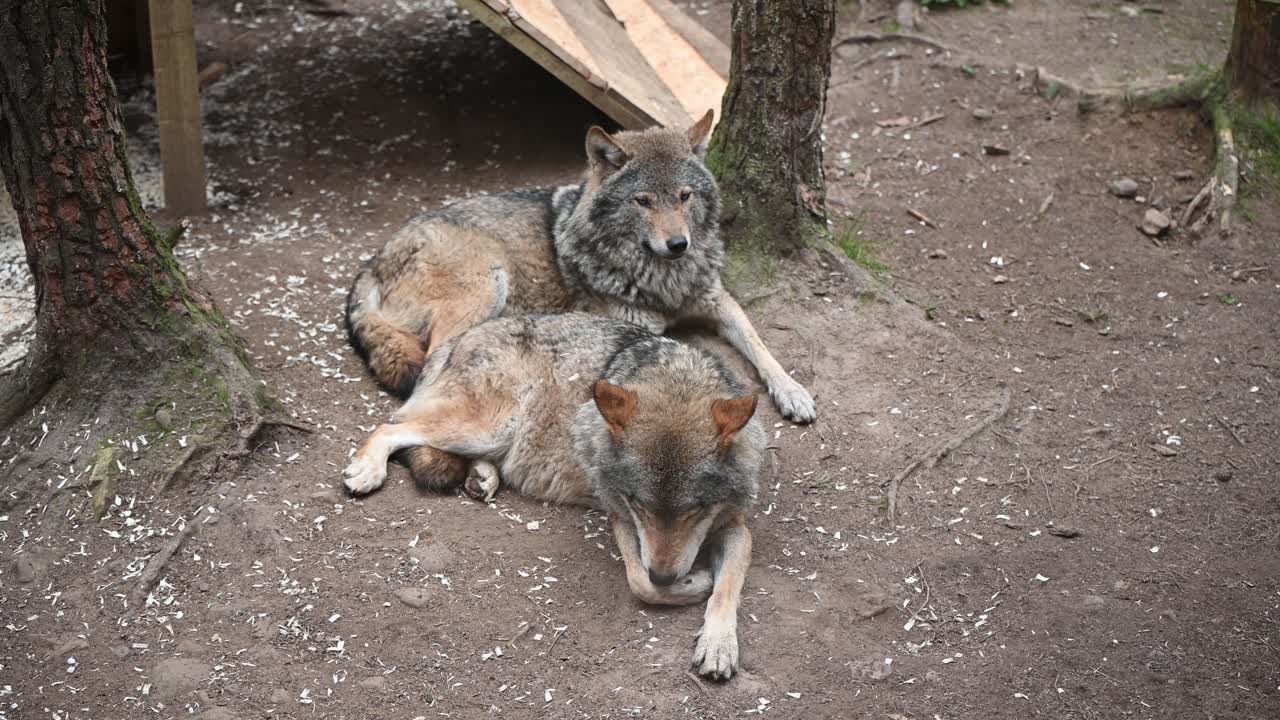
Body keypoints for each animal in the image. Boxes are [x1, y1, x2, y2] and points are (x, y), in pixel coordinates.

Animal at [341, 313, 767, 679]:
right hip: (489, 425)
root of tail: (465, 335)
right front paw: (695, 583)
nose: (666, 574)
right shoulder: (618, 516)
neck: (677, 382)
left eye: (695, 510)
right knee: (390, 426)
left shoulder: (735, 528)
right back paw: (367, 469)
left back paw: (483, 477)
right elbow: (640, 582)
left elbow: (727, 588)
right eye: (640, 505)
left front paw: (718, 644)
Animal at [345, 110, 816, 423]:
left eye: (685, 196)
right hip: (487, 286)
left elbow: (760, 346)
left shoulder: (720, 301)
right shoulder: (637, 325)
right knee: (432, 362)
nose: (678, 244)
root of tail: (373, 262)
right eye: (643, 201)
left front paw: (793, 392)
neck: (665, 280)